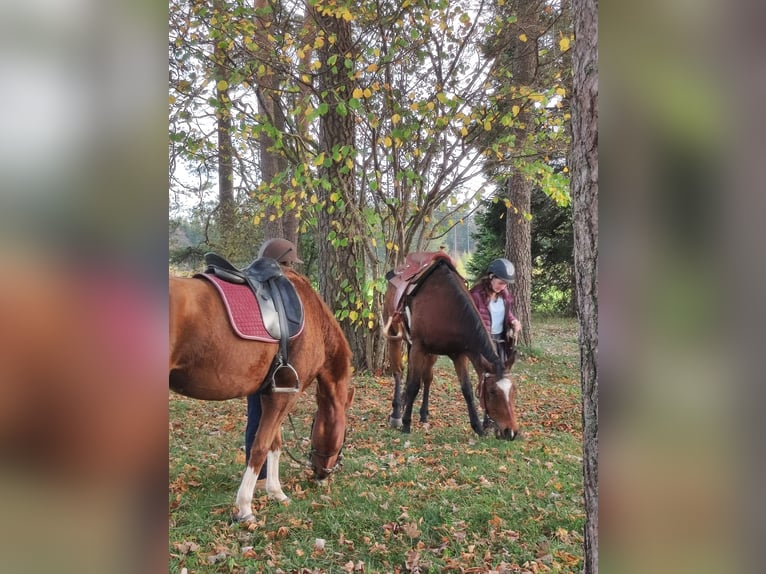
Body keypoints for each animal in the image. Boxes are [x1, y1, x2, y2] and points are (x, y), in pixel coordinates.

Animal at [170, 266, 356, 520]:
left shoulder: (270, 393)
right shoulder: (285, 396)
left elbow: (274, 444)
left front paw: (276, 492)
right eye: (345, 433)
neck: (314, 318)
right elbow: (260, 446)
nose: (323, 474)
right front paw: (245, 507)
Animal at [384, 252, 520, 440]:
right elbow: (413, 385)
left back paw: (423, 415)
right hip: (396, 337)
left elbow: (467, 389)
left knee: (426, 378)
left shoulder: (459, 354)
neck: (448, 307)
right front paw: (406, 424)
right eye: (492, 392)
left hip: (428, 352)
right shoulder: (419, 347)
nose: (511, 432)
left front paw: (477, 426)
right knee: (398, 372)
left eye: (513, 390)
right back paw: (397, 413)